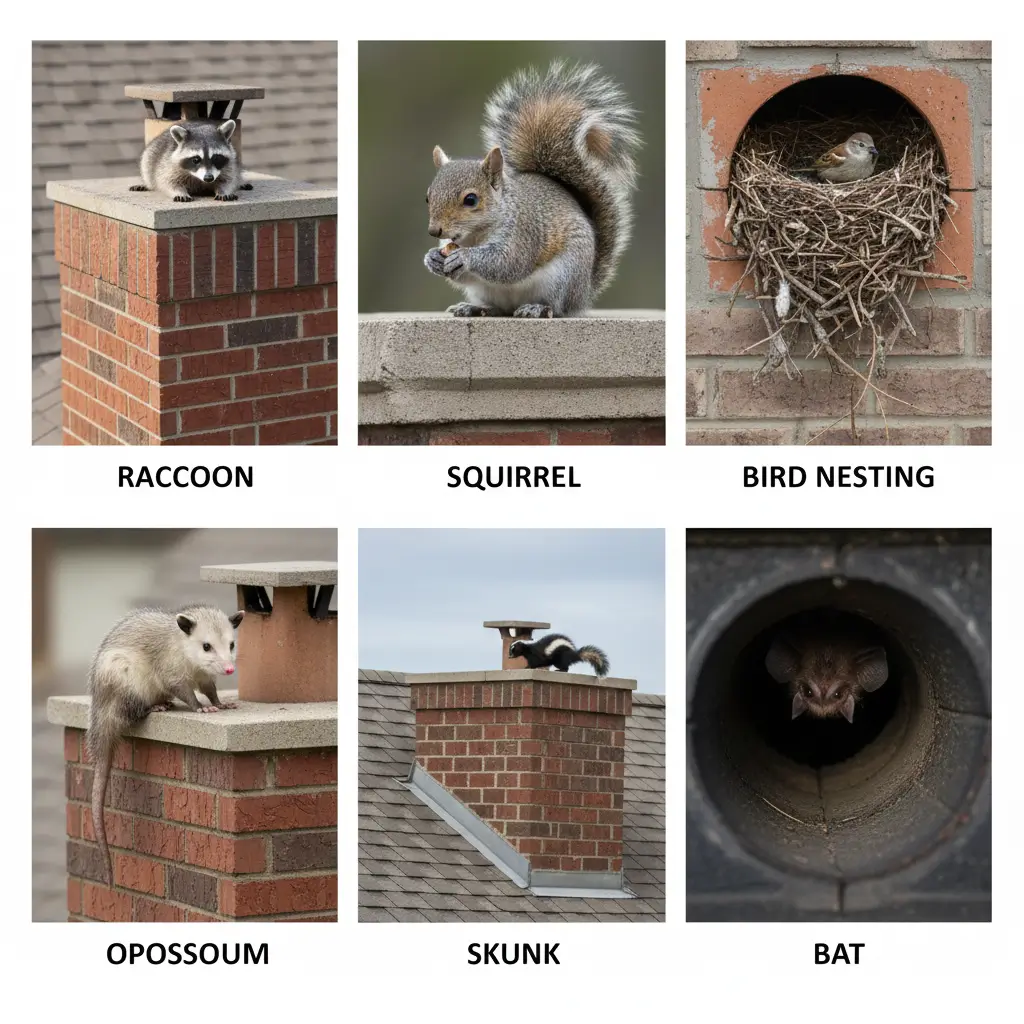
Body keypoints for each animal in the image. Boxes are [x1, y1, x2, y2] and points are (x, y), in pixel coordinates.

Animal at [86, 605, 244, 886]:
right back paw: (155, 706)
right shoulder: (171, 670)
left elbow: (210, 689)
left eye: (231, 644)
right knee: (134, 708)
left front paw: (220, 703)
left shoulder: (205, 676)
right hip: (126, 679)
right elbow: (183, 690)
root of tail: (102, 710)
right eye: (206, 646)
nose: (228, 669)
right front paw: (200, 707)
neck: (185, 650)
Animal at [423, 61, 641, 319]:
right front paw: (432, 258)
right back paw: (473, 307)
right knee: (497, 308)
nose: (434, 231)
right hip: (485, 291)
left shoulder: (523, 234)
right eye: (427, 198)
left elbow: (507, 262)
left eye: (471, 199)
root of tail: (583, 293)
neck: (474, 236)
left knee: (556, 308)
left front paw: (465, 257)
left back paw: (537, 308)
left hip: (563, 277)